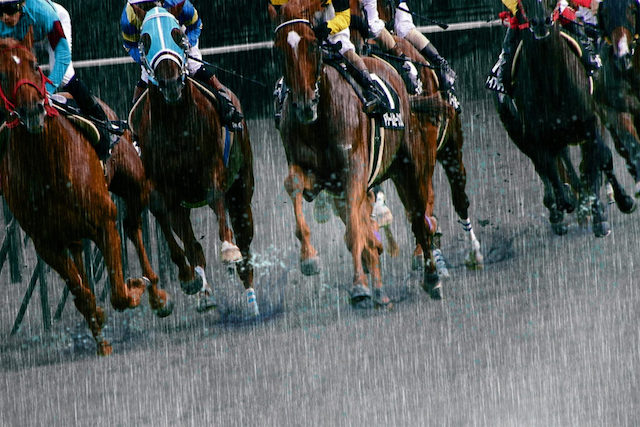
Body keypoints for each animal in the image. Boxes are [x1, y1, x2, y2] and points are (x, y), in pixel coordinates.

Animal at [0, 31, 150, 356]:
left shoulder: (104, 220)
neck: (47, 164)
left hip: (134, 182)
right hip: (73, 233)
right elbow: (81, 293)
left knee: (134, 226)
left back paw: (159, 291)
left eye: (35, 64)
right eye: (2, 74)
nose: (32, 109)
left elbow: (119, 292)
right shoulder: (47, 243)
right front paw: (100, 333)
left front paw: (136, 287)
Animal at [132, 5, 258, 314]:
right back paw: (204, 291)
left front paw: (227, 251)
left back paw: (251, 297)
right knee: (193, 244)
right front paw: (190, 281)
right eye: (145, 39)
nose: (169, 81)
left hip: (242, 186)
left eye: (177, 33)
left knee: (245, 239)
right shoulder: (162, 187)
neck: (177, 124)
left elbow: (215, 195)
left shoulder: (212, 168)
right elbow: (166, 220)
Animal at [272, 0, 442, 308]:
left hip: (413, 164)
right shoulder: (319, 177)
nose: (304, 105)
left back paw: (432, 277)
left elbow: (355, 232)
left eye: (312, 45)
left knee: (420, 219)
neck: (320, 119)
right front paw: (309, 257)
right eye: (278, 49)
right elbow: (293, 186)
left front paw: (360, 287)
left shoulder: (353, 173)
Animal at [492, 0, 632, 236]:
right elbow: (549, 169)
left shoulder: (591, 123)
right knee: (543, 167)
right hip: (519, 134)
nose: (541, 22)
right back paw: (559, 209)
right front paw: (565, 203)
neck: (552, 82)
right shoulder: (537, 136)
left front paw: (605, 211)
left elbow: (600, 159)